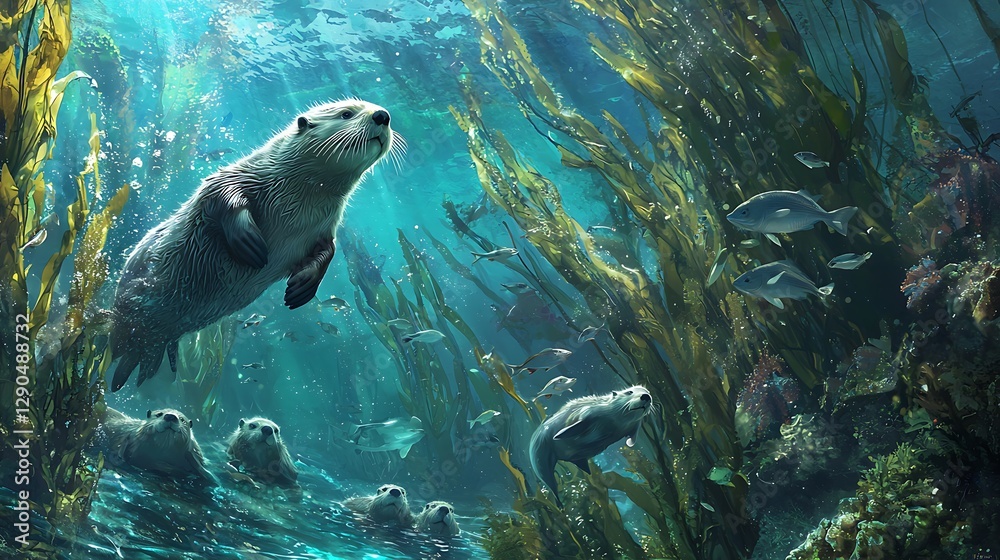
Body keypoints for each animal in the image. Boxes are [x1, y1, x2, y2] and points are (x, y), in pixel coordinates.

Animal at [109, 99, 401, 391]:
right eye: (347, 113)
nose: (382, 115)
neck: (298, 202)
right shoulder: (239, 174)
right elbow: (221, 194)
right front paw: (250, 243)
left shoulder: (324, 229)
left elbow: (327, 252)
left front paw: (301, 287)